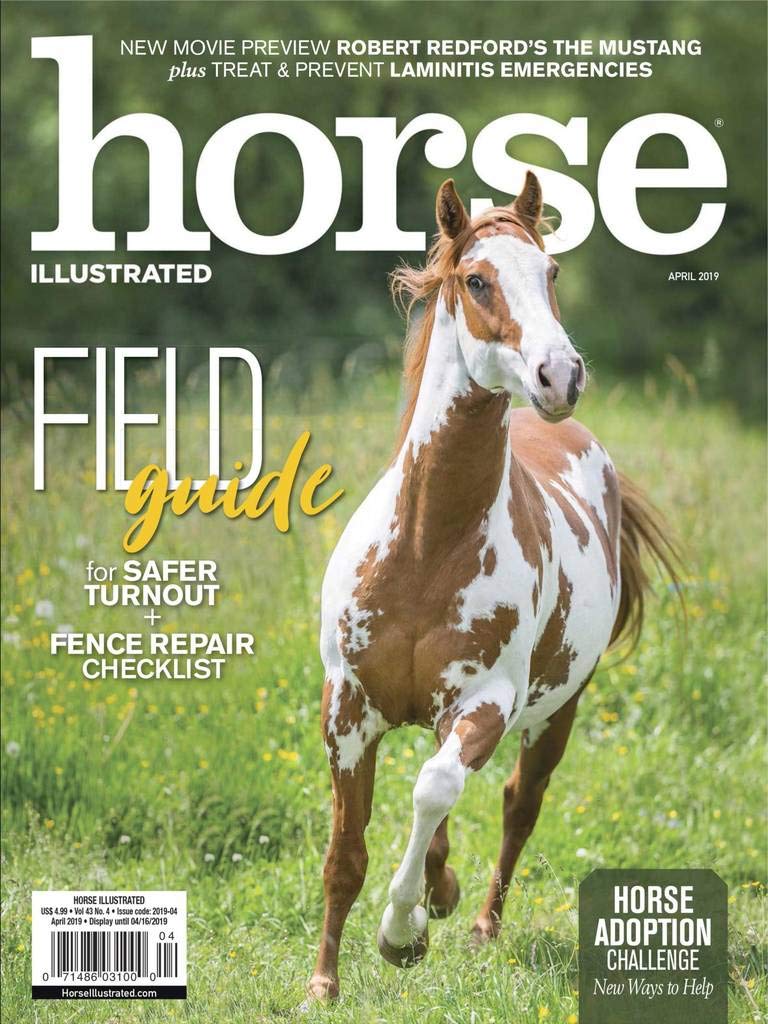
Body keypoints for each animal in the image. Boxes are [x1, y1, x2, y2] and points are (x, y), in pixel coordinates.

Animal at [307, 171, 678, 1002]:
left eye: (551, 273)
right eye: (477, 280)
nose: (560, 375)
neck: (426, 548)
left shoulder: (488, 702)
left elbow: (435, 789)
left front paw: (402, 934)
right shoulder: (347, 710)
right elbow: (347, 852)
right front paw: (322, 984)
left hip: (557, 710)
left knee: (515, 803)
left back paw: (474, 922)